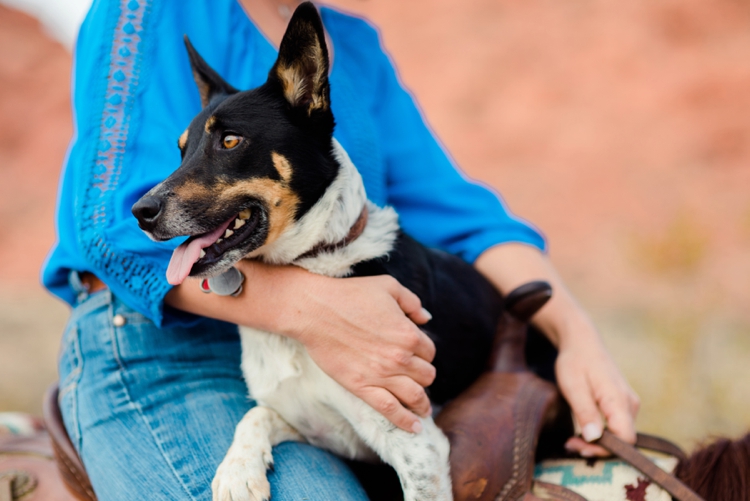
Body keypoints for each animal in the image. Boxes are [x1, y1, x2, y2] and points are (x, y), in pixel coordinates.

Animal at [134, 2, 506, 496]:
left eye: (229, 141)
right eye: (181, 151)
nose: (139, 211)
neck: (315, 262)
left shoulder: (418, 446)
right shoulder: (314, 423)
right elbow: (255, 415)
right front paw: (238, 471)